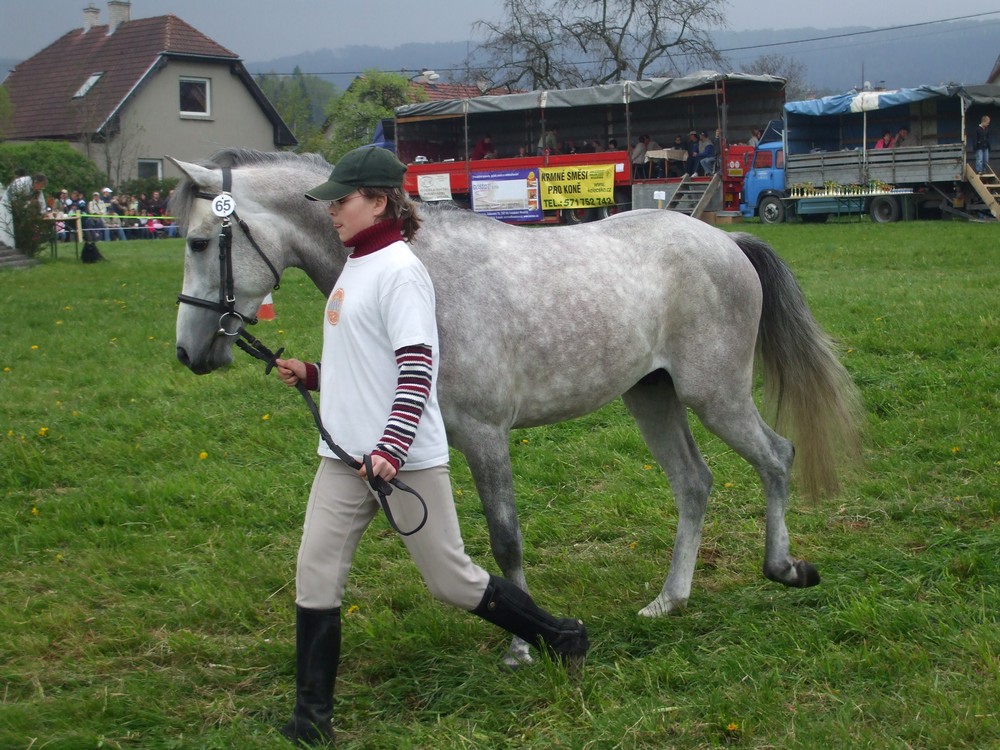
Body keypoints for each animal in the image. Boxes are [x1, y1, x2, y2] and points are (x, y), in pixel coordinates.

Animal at [170, 150, 860, 668]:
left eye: (201, 242)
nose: (188, 352)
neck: (423, 269)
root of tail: (727, 241)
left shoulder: (484, 434)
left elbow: (505, 541)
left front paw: (520, 650)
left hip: (714, 396)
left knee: (777, 457)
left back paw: (783, 569)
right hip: (652, 396)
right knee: (695, 483)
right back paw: (669, 601)